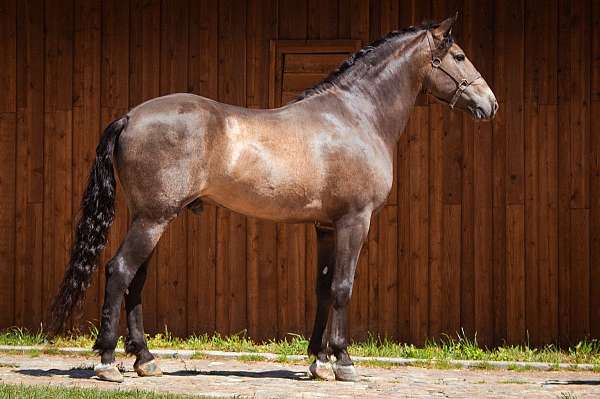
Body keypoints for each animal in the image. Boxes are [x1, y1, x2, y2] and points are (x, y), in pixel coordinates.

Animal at [49, 14, 496, 384]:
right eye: (458, 55)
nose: (490, 104)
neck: (355, 116)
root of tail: (129, 117)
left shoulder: (326, 226)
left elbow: (323, 288)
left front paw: (319, 362)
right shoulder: (354, 221)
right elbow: (343, 286)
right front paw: (344, 362)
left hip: (151, 218)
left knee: (135, 279)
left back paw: (145, 359)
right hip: (153, 218)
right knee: (120, 271)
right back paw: (108, 362)